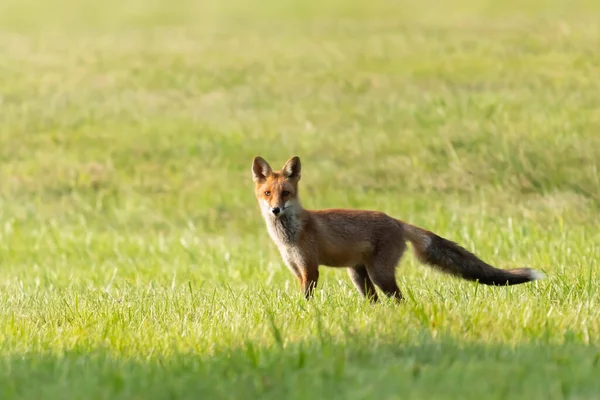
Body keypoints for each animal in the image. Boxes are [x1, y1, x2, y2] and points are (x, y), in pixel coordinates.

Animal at [252, 155, 544, 302]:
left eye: (286, 193)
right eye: (267, 194)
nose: (275, 210)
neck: (290, 235)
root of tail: (396, 220)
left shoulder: (310, 269)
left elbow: (306, 299)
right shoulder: (296, 269)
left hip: (379, 274)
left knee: (399, 299)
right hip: (358, 274)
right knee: (376, 301)